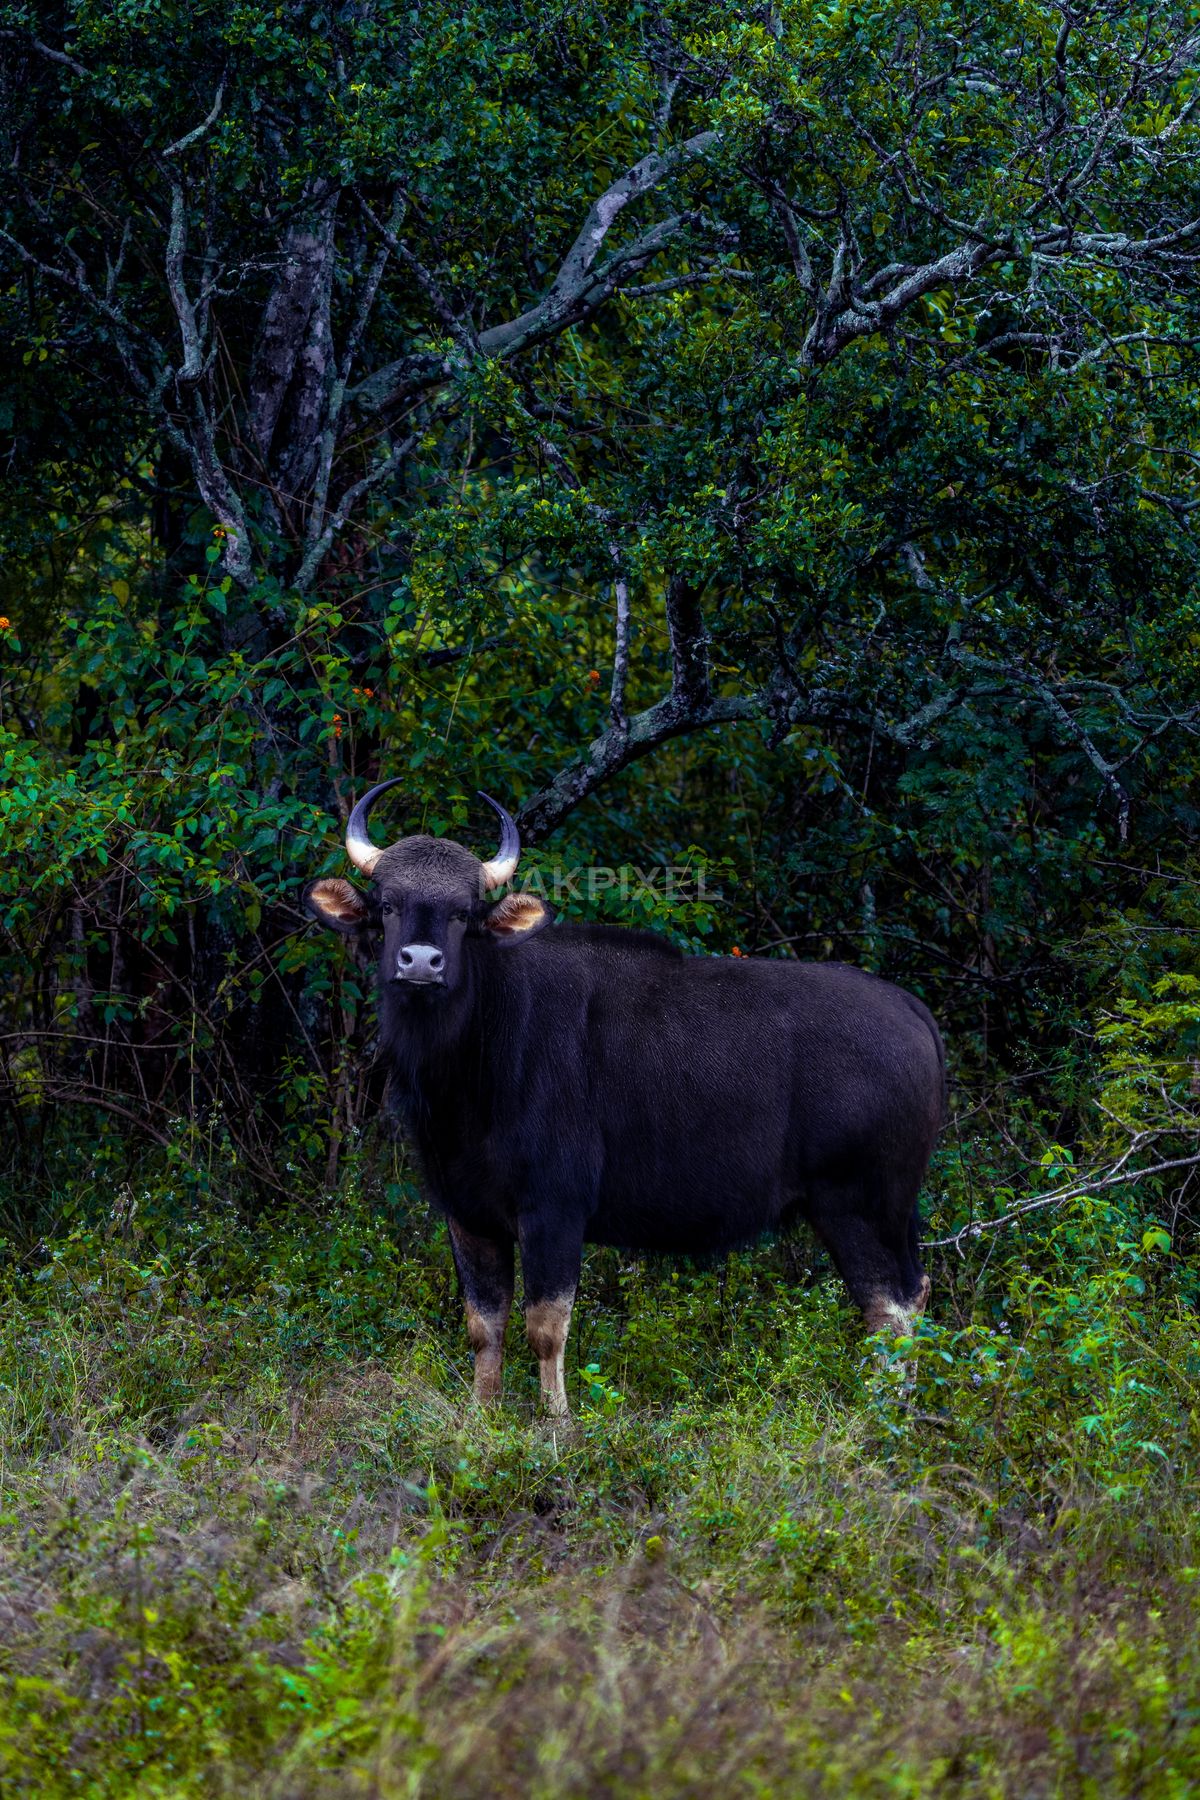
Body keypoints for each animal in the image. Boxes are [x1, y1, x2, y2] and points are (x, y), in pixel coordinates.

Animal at [304, 782, 944, 1416]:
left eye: (464, 913)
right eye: (388, 904)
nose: (420, 962)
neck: (477, 1060)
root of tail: (912, 1012)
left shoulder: (555, 1209)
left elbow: (546, 1327)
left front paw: (556, 1422)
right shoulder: (468, 1215)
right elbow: (485, 1326)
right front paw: (483, 1416)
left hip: (862, 1204)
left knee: (891, 1307)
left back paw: (882, 1417)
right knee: (910, 1296)